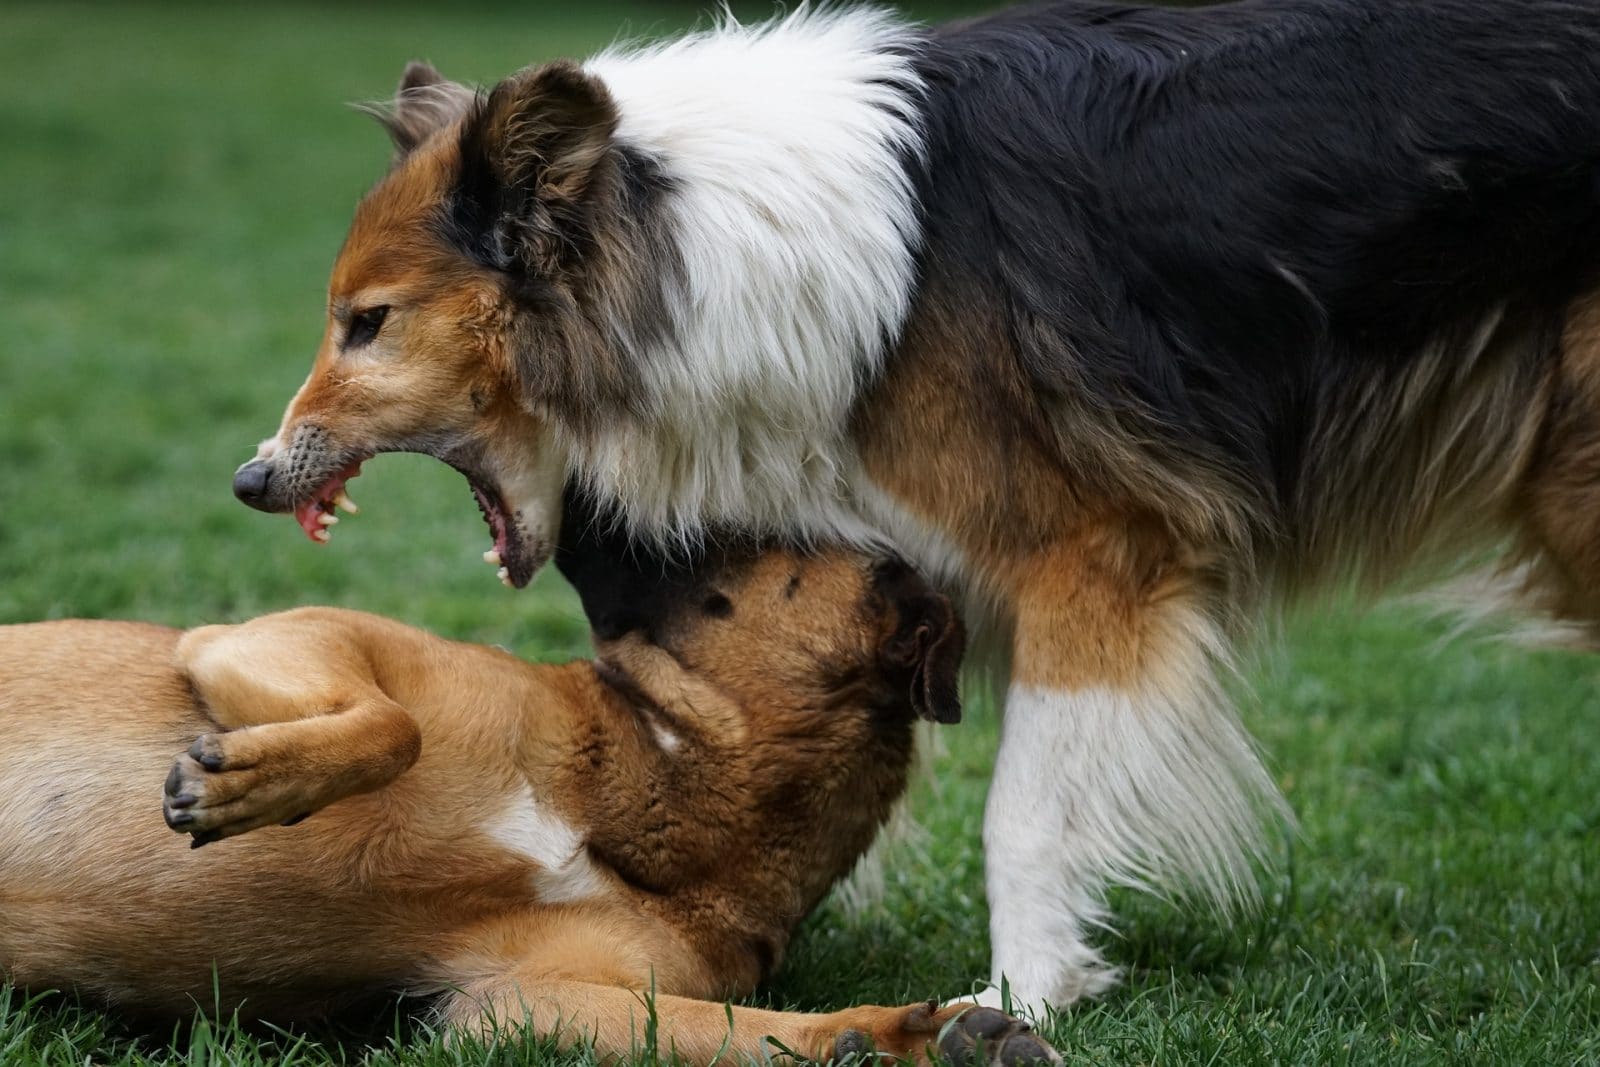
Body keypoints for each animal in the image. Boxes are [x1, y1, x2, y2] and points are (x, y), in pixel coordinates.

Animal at [0, 543, 1062, 1067]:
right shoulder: (277, 635)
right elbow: (394, 726)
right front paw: (246, 781)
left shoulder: (508, 1003)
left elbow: (734, 1031)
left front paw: (897, 1036)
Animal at [232, 0, 1600, 1017]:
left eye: (368, 323)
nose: (249, 480)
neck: (702, 243)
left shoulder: (1093, 559)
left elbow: (1023, 816)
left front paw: (1021, 998)